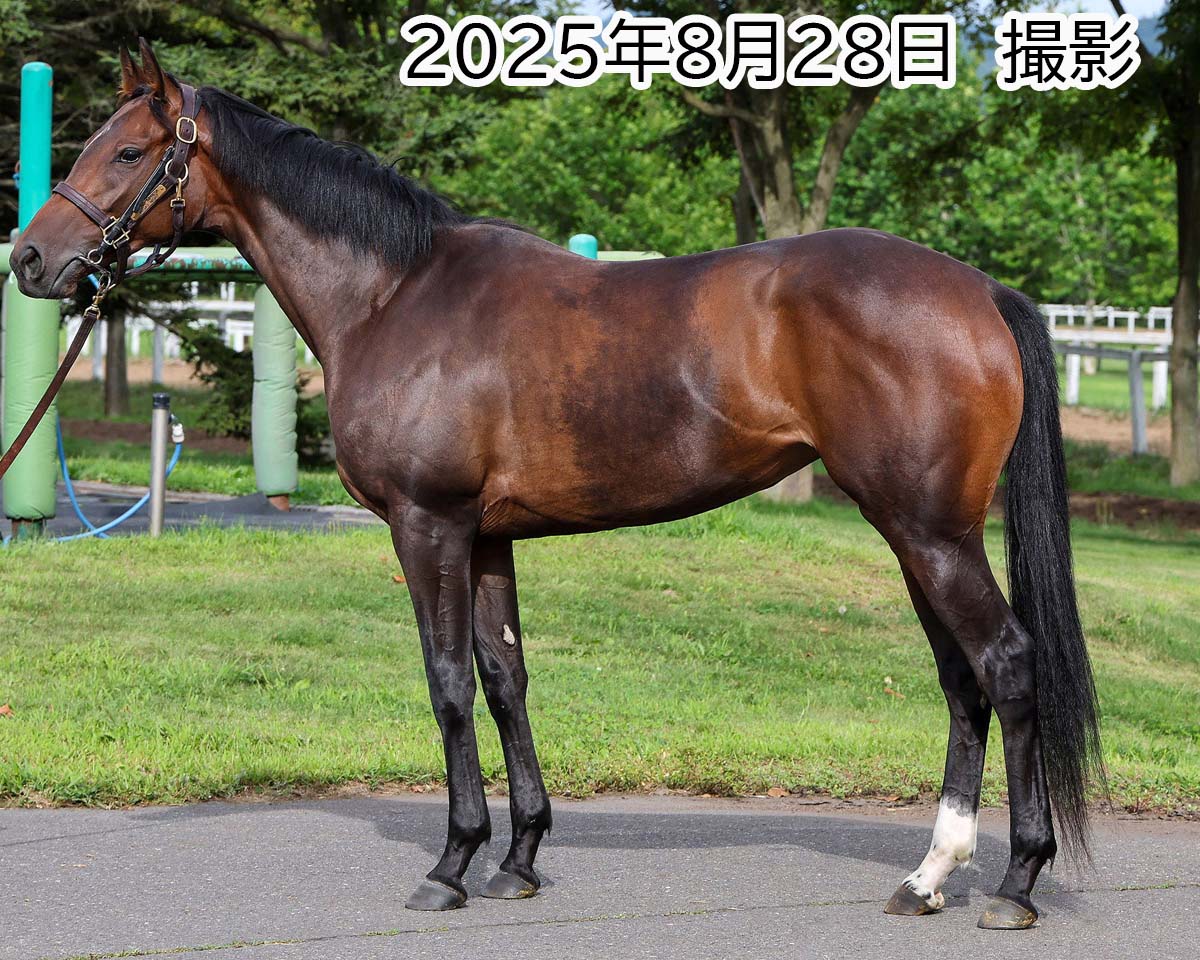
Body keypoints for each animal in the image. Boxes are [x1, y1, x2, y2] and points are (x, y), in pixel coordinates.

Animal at [10, 40, 1103, 930]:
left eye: (125, 153)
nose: (31, 259)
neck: (396, 295)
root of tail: (981, 291)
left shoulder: (428, 528)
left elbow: (449, 684)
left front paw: (450, 865)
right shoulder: (488, 537)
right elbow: (506, 681)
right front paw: (519, 859)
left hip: (929, 531)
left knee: (1006, 665)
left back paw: (1014, 884)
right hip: (915, 532)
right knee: (962, 682)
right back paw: (929, 878)